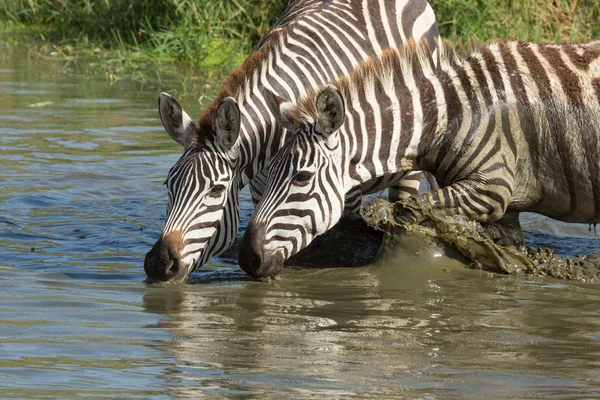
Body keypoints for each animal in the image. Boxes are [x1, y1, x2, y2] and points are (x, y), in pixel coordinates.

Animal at [238, 38, 600, 278]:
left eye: (302, 177)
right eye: (267, 175)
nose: (246, 260)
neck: (448, 116)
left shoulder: (491, 186)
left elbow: (408, 211)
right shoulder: (504, 211)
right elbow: (512, 252)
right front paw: (511, 265)